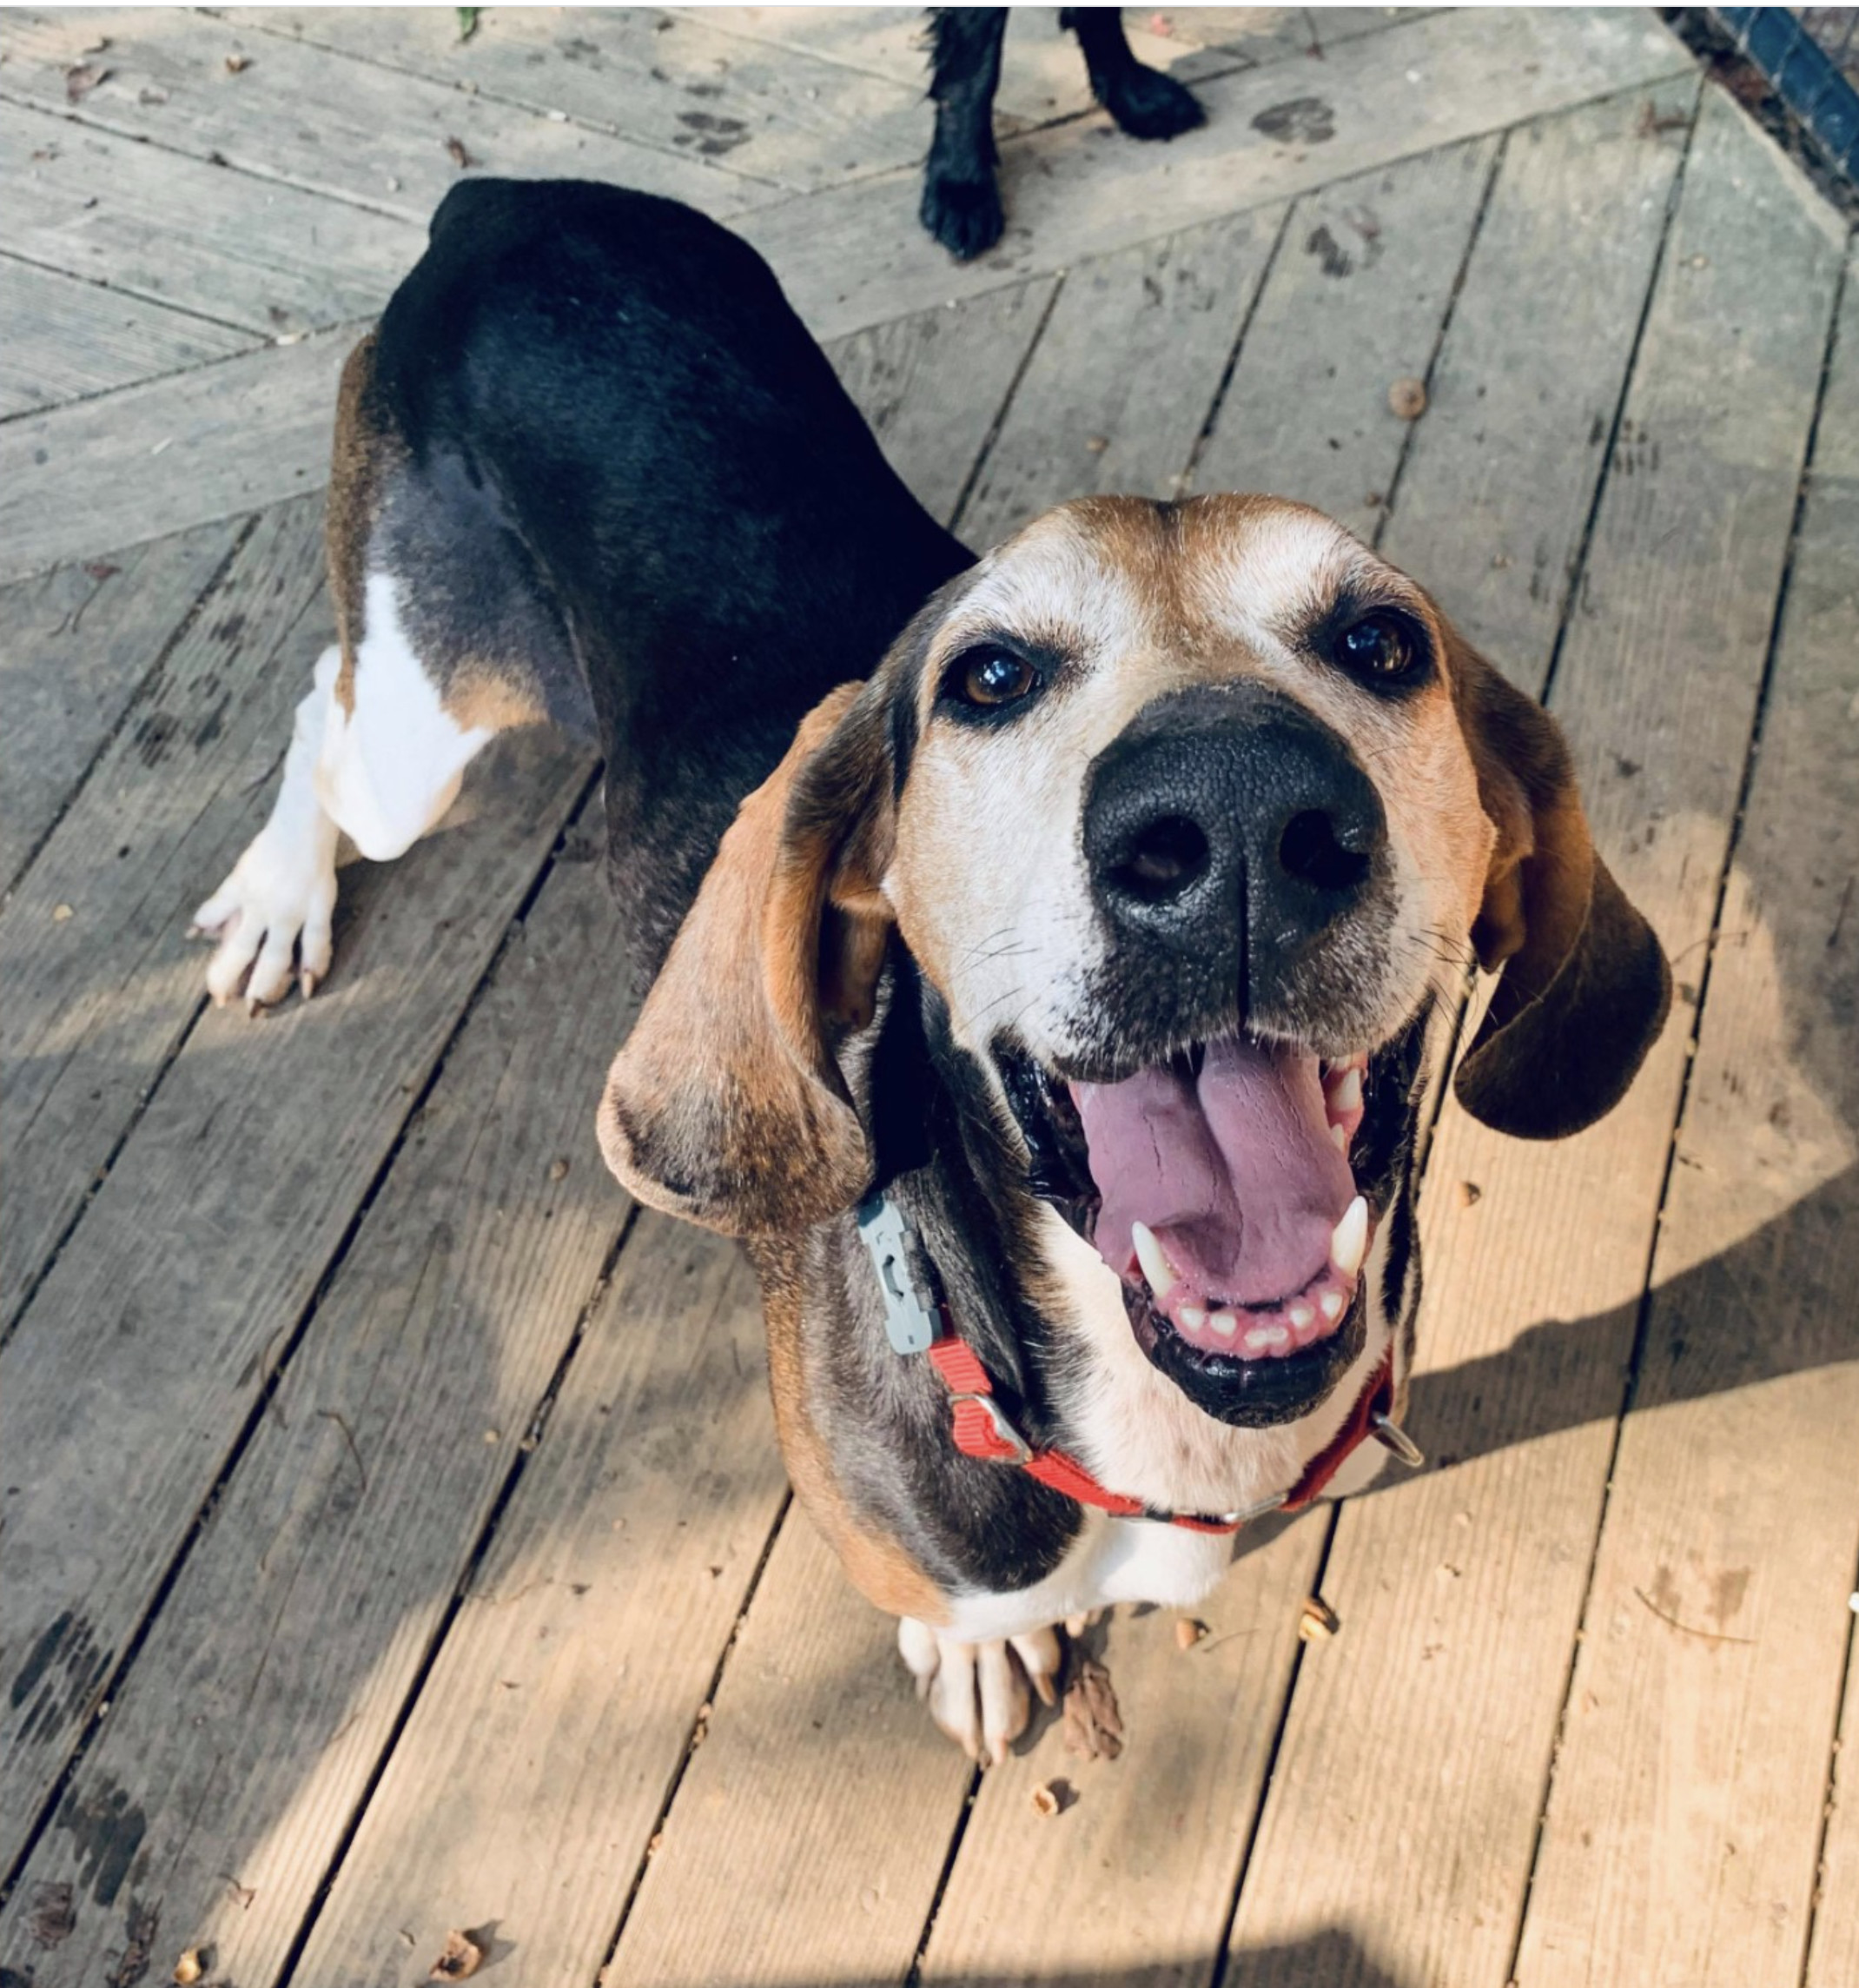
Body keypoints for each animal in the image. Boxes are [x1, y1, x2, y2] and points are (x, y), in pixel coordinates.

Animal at [195, 187, 1677, 1765]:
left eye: (1382, 641)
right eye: (990, 677)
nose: (1233, 814)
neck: (1165, 1424)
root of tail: (506, 202)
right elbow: (965, 1610)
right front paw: (983, 1652)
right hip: (420, 723)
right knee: (325, 707)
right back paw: (277, 900)